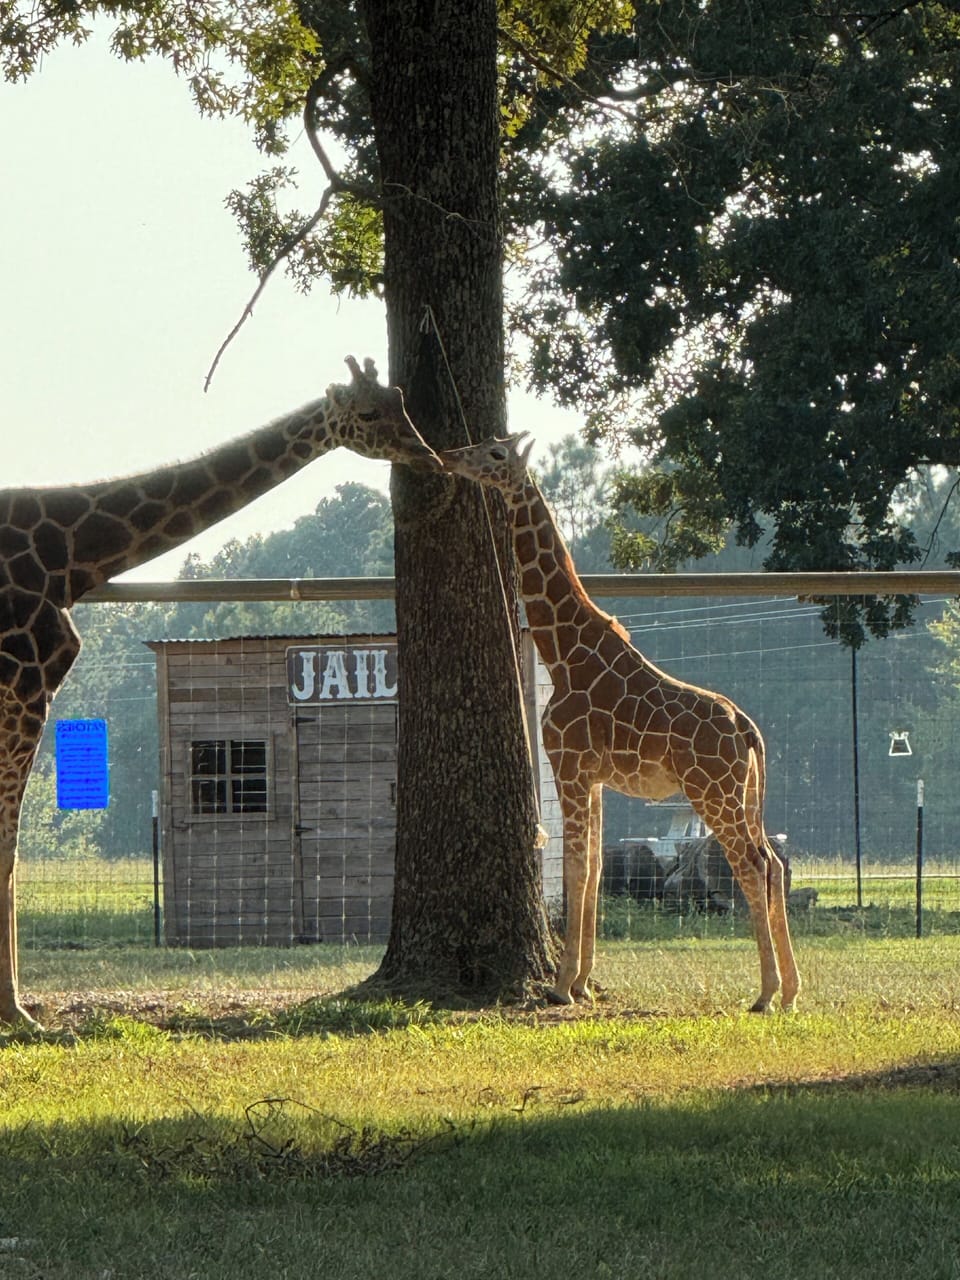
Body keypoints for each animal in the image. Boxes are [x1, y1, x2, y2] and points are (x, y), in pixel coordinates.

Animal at [0, 357, 439, 1027]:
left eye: (399, 399)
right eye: (367, 414)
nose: (429, 457)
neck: (72, 559)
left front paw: (13, 1006)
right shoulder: (27, 683)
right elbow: (10, 847)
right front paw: (14, 1011)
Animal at [440, 433, 800, 1012]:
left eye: (495, 453)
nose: (450, 456)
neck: (562, 651)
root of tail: (748, 729)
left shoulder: (567, 765)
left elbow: (576, 867)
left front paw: (562, 986)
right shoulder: (595, 777)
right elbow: (592, 871)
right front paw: (582, 982)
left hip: (712, 791)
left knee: (752, 865)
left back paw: (766, 993)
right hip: (742, 793)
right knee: (773, 862)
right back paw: (789, 990)